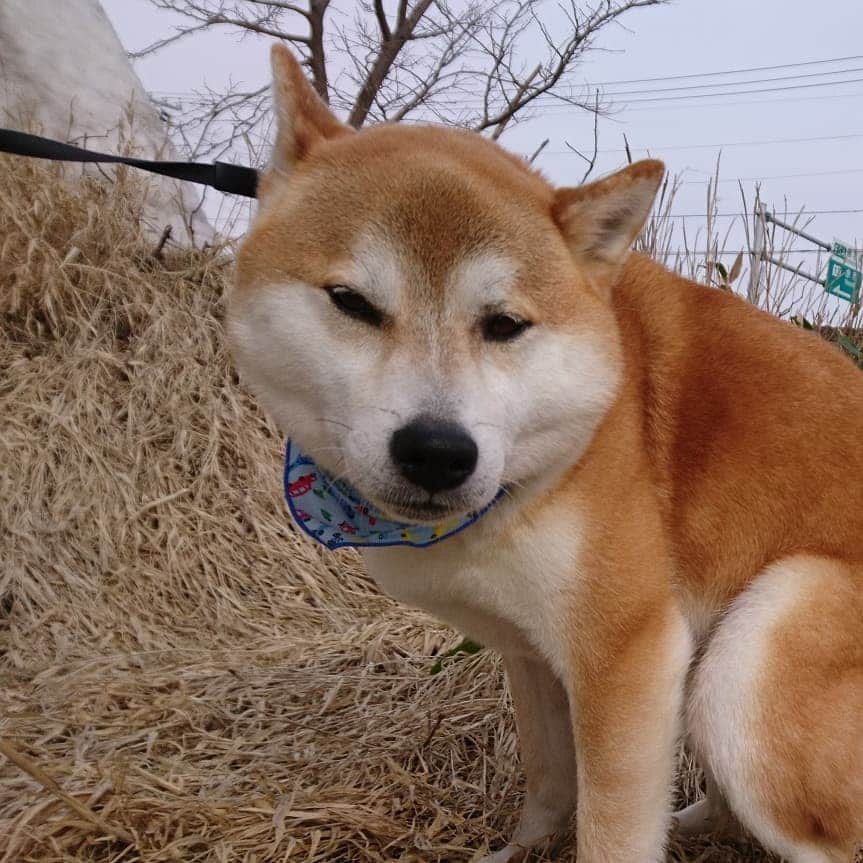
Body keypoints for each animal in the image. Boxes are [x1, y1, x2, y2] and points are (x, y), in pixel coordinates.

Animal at [228, 45, 863, 863]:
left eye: (505, 324)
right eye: (352, 303)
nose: (437, 452)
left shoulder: (626, 655)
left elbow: (610, 827)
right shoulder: (529, 649)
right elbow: (548, 778)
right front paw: (522, 848)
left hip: (747, 661)